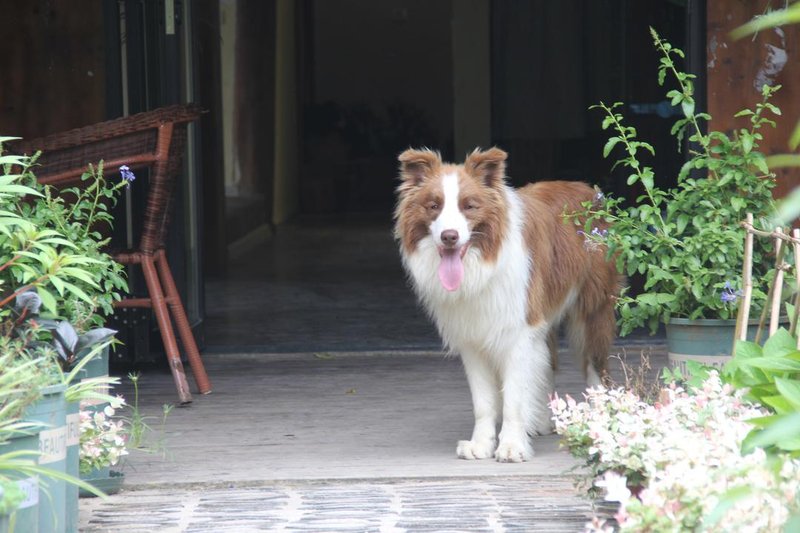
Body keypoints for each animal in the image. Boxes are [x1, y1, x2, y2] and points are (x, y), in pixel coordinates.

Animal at [394, 147, 620, 462]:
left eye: (469, 206)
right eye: (433, 206)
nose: (449, 236)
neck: (482, 261)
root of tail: (589, 190)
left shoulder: (519, 330)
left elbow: (513, 396)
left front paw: (512, 445)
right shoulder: (473, 337)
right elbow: (484, 401)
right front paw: (480, 444)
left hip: (592, 308)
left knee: (595, 365)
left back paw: (598, 418)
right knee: (549, 360)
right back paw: (540, 422)